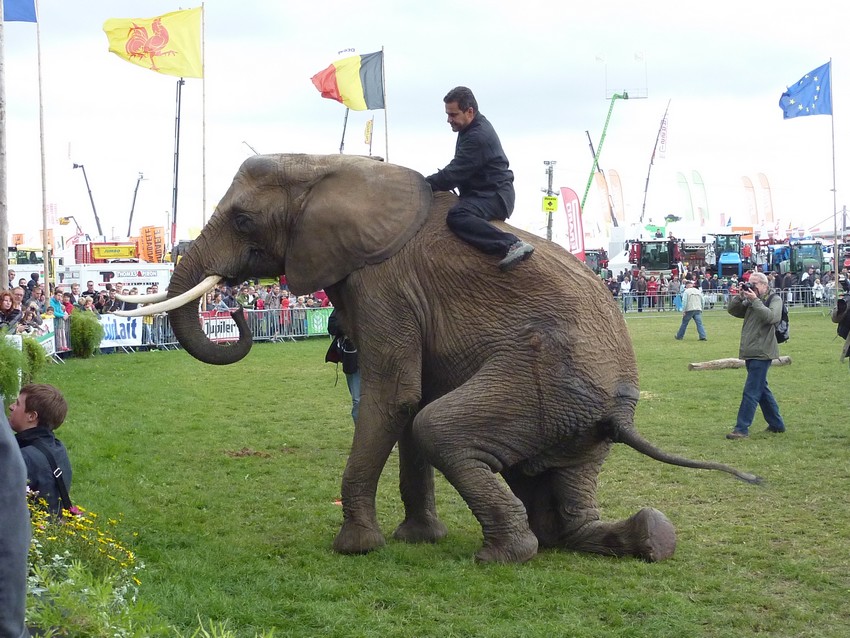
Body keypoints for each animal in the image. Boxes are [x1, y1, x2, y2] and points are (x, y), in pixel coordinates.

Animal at [127, 154, 760, 564]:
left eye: (243, 219)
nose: (235, 306)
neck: (332, 165)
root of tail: (621, 411)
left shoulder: (384, 284)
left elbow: (397, 399)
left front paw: (356, 549)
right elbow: (409, 401)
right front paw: (418, 539)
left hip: (543, 383)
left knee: (443, 430)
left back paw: (505, 554)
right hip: (575, 422)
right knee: (565, 505)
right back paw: (647, 539)